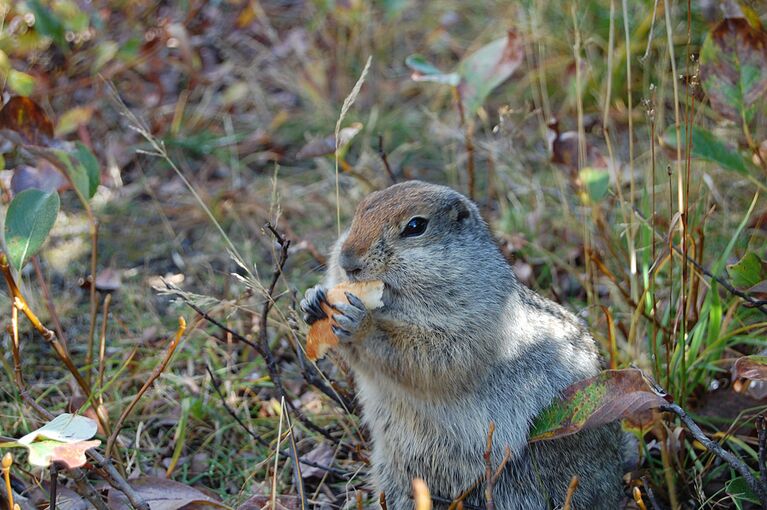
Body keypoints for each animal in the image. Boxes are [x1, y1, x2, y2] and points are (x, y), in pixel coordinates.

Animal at [300, 181, 624, 508]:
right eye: (360, 210)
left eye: (415, 226)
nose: (348, 261)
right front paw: (312, 299)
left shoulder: (476, 322)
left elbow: (431, 355)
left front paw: (360, 323)